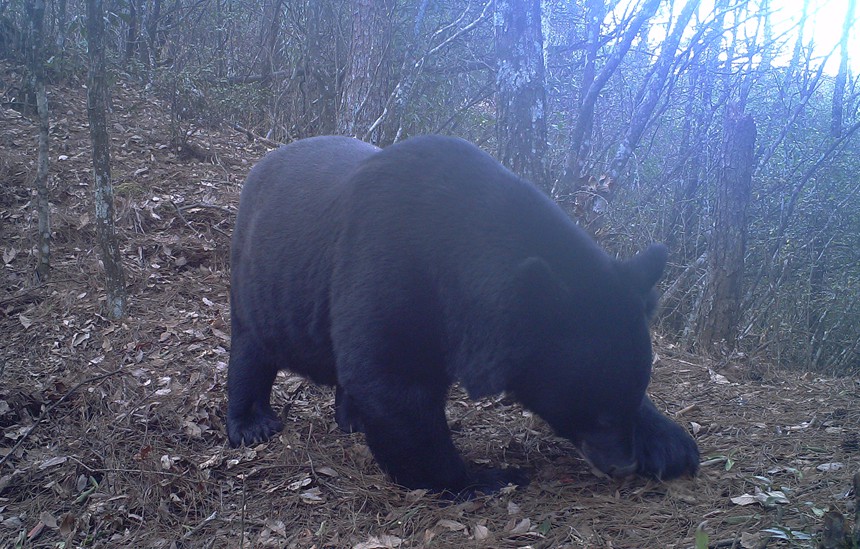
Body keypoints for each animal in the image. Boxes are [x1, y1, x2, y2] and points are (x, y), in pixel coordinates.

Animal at [228, 135, 700, 494]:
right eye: (595, 411)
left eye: (630, 397)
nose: (623, 464)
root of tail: (263, 162)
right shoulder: (389, 265)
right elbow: (394, 382)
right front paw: (484, 477)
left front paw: (672, 445)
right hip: (259, 272)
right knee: (251, 347)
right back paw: (253, 424)